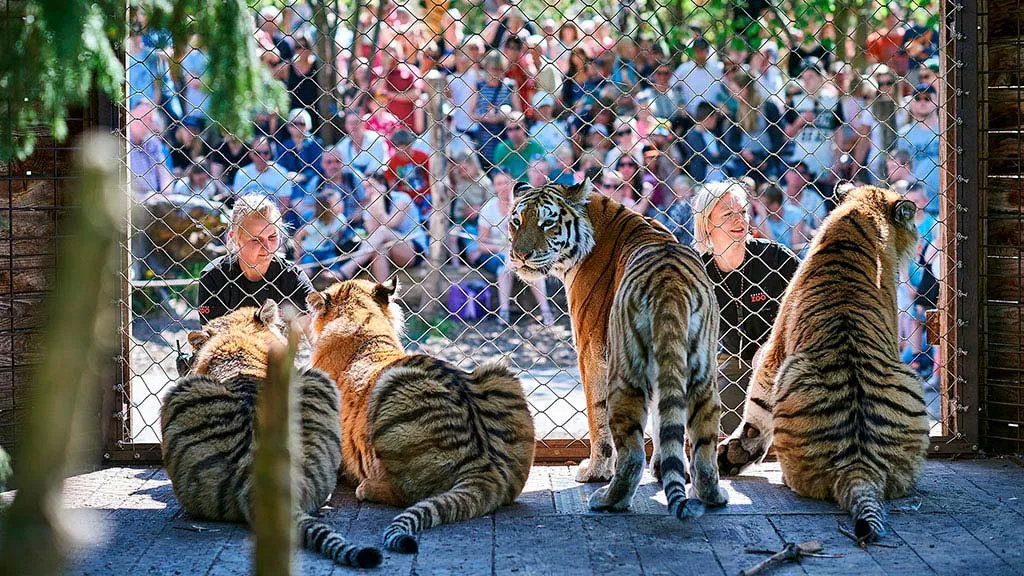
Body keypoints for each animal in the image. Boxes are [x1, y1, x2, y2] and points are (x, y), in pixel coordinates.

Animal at [306, 279, 535, 553]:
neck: (360, 315)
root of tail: (485, 467)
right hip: (499, 372)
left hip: (392, 385)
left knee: (408, 493)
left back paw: (366, 488)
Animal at [507, 179, 728, 518]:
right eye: (517, 221)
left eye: (547, 222)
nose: (520, 255)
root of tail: (670, 283)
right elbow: (664, 418)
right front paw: (663, 468)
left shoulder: (590, 352)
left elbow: (596, 420)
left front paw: (595, 472)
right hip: (703, 369)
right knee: (705, 441)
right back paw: (713, 495)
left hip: (626, 370)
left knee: (631, 451)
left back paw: (608, 498)